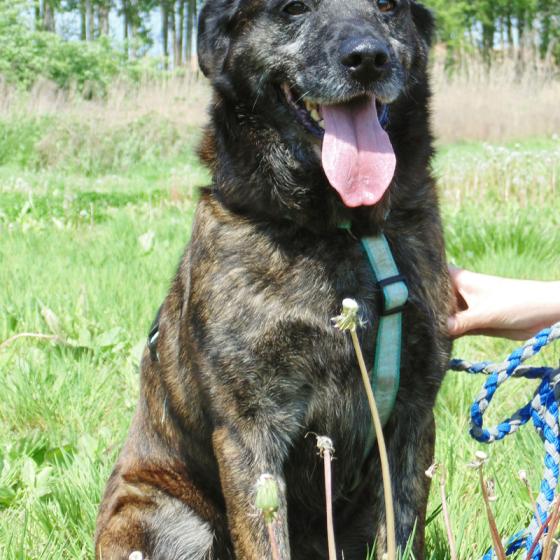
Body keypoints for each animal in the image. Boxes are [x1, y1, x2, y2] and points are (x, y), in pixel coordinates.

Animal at [95, 0, 452, 558]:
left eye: (388, 6)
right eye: (293, 9)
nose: (367, 59)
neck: (341, 232)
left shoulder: (413, 414)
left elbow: (401, 526)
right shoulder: (250, 428)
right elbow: (264, 538)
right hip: (164, 517)